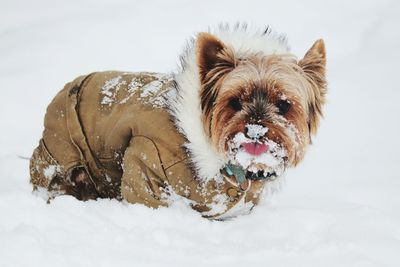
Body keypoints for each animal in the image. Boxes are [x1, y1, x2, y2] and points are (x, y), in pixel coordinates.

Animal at [30, 24, 324, 220]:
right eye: (234, 102)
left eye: (284, 105)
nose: (254, 129)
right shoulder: (147, 157)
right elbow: (144, 194)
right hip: (61, 156)